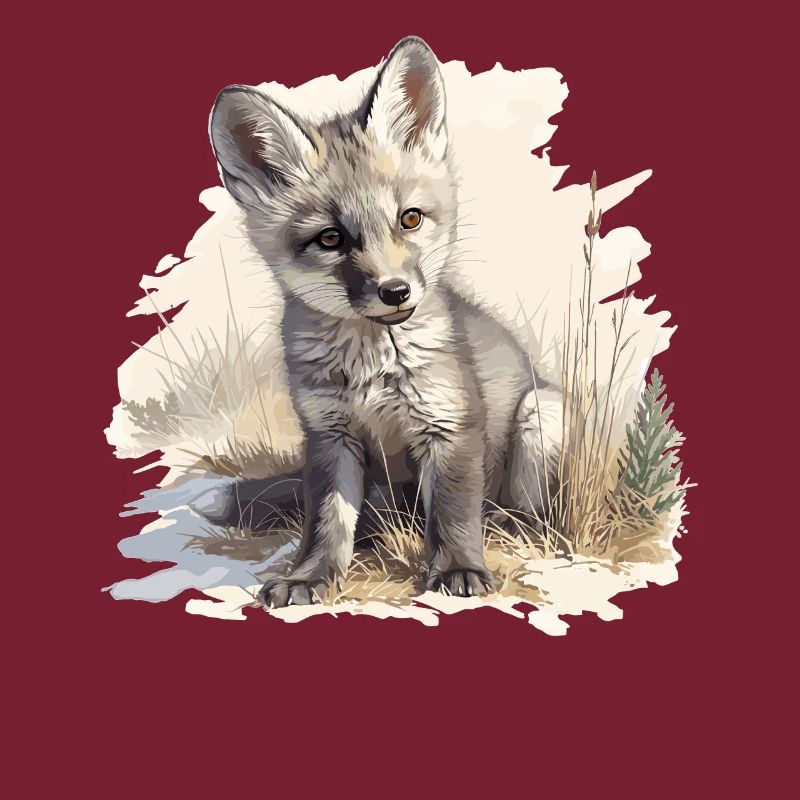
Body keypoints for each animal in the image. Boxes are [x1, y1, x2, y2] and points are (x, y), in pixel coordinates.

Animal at [206, 36, 562, 607]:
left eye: (409, 218)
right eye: (330, 238)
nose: (395, 292)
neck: (371, 369)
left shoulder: (451, 426)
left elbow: (454, 514)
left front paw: (459, 569)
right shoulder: (329, 436)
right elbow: (326, 523)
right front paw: (310, 577)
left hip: (541, 415)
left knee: (526, 513)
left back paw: (513, 527)